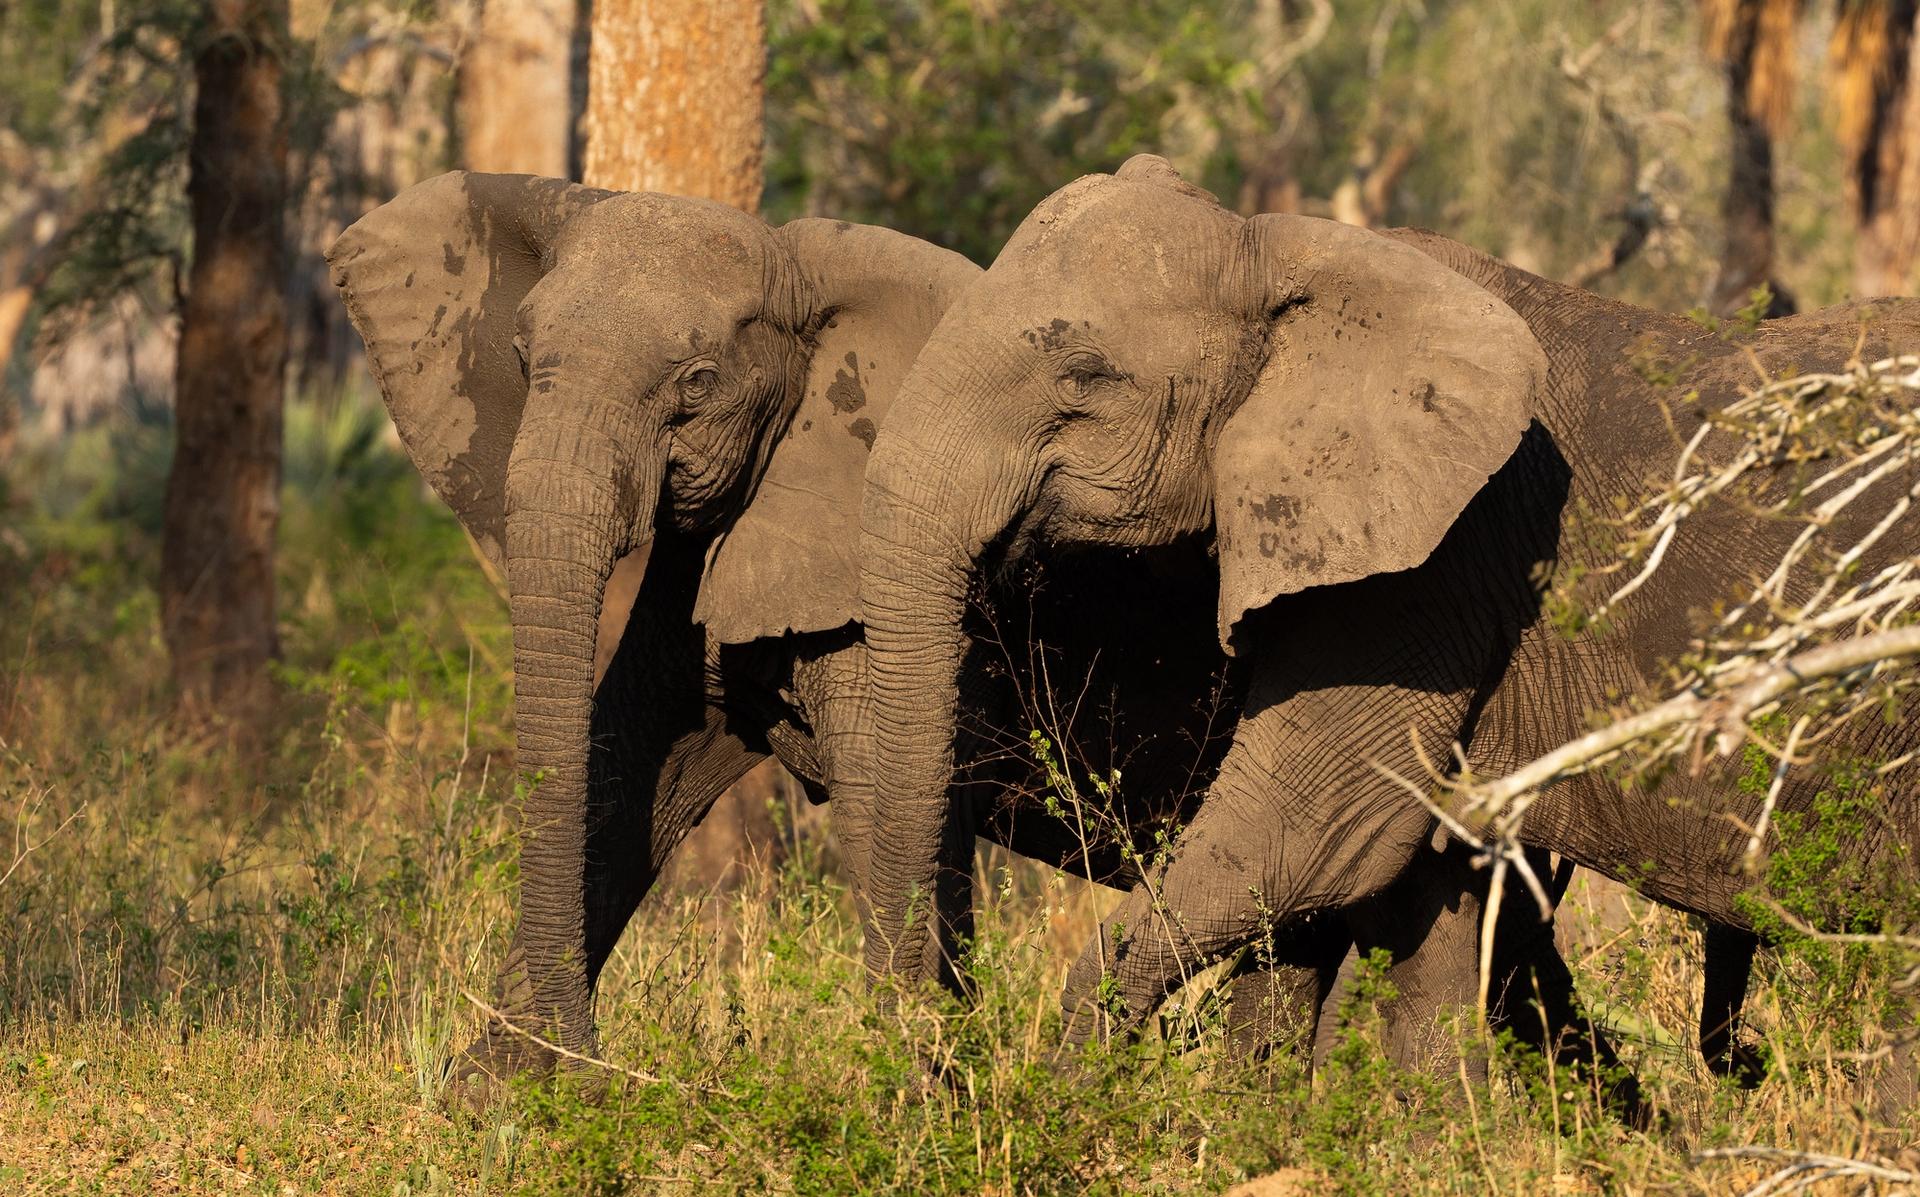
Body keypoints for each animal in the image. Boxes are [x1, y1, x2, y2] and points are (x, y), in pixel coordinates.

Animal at [854, 154, 1920, 1098]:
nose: (934, 1072)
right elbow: (1413, 887)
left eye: (1083, 378)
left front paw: (1065, 1107)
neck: (1287, 253)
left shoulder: (1437, 563)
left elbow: (1304, 834)